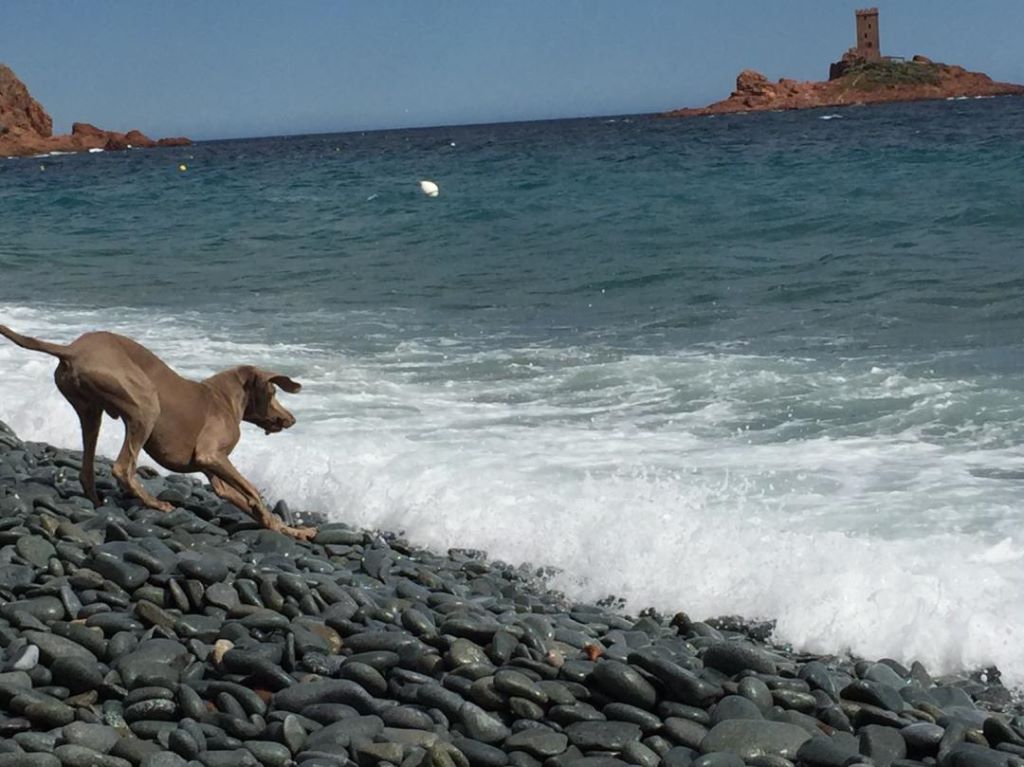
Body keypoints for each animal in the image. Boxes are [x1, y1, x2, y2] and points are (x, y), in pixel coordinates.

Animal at [0, 323, 315, 536]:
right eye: (274, 391)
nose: (291, 419)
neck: (223, 398)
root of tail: (73, 349)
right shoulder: (210, 455)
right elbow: (253, 491)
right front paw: (272, 516)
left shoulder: (216, 472)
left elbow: (239, 496)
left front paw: (291, 530)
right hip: (146, 403)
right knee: (122, 467)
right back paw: (156, 504)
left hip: (90, 411)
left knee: (87, 468)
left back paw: (97, 498)